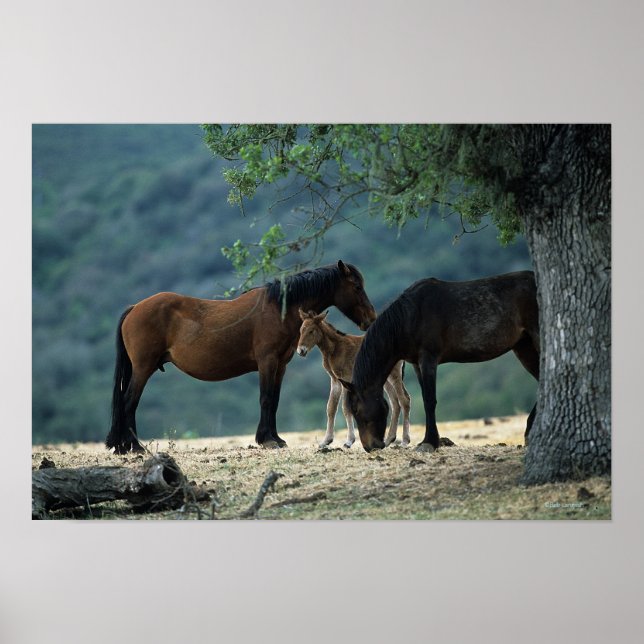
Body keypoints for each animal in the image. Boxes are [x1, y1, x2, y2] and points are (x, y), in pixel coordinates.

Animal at [106, 260, 377, 454]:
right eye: (356, 287)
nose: (371, 319)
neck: (278, 308)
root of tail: (135, 308)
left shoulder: (280, 366)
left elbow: (274, 400)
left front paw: (275, 438)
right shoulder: (267, 362)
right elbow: (266, 399)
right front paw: (267, 440)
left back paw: (124, 446)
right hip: (143, 368)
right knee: (129, 402)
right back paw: (135, 447)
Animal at [296, 309, 411, 448]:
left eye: (311, 331)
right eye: (301, 330)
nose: (301, 351)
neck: (334, 349)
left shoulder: (346, 378)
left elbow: (346, 408)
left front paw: (349, 441)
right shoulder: (335, 380)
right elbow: (331, 408)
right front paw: (326, 441)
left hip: (394, 375)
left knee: (404, 399)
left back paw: (405, 441)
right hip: (386, 379)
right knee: (395, 403)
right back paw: (389, 440)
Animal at [339, 271, 539, 452]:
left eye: (356, 410)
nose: (370, 446)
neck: (410, 316)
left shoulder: (429, 359)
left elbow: (430, 400)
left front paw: (429, 442)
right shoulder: (416, 364)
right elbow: (424, 397)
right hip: (524, 347)